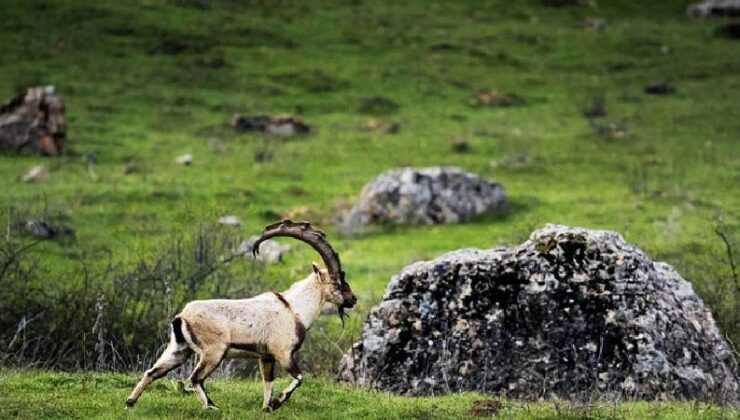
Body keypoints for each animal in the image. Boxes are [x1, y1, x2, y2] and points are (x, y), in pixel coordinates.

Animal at [125, 221, 356, 412]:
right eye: (337, 283)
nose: (352, 299)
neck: (294, 309)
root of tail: (182, 317)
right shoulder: (283, 352)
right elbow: (299, 377)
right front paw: (276, 403)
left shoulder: (265, 356)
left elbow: (268, 382)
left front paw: (266, 408)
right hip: (214, 351)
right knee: (195, 378)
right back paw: (211, 407)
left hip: (179, 349)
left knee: (152, 372)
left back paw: (130, 403)